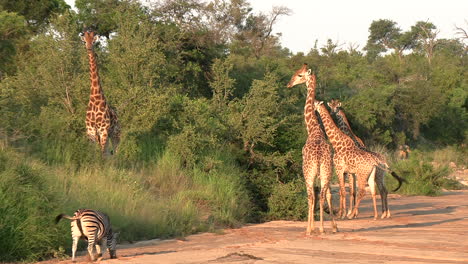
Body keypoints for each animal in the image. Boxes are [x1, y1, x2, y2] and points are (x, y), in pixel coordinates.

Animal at [286, 63, 336, 233]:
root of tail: (319, 158)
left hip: (309, 173)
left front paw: (310, 227)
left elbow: (310, 197)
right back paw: (325, 228)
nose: (289, 84)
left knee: (311, 196)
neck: (313, 128)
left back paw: (311, 229)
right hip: (326, 172)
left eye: (300, 75)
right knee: (322, 195)